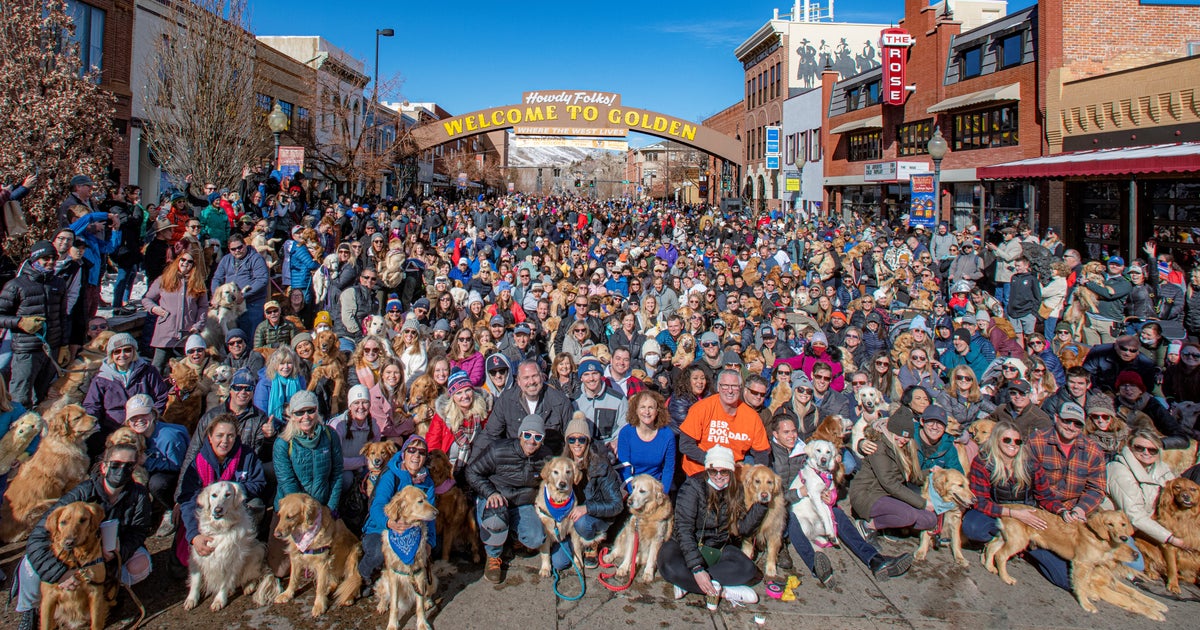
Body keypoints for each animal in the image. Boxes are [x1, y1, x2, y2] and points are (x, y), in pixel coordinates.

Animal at [0, 405, 96, 542]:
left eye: (85, 412)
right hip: (43, 504)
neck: (66, 441)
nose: (96, 420)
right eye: (77, 417)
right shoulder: (75, 479)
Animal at [374, 487, 441, 628]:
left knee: (426, 594)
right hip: (385, 579)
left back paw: (427, 601)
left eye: (427, 498)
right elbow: (394, 606)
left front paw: (422, 624)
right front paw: (392, 625)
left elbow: (419, 605)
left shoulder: (419, 573)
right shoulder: (393, 576)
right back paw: (382, 605)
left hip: (432, 579)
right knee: (383, 594)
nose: (437, 512)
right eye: (420, 501)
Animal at [984, 506, 1132, 585]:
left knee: (991, 547)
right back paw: (1006, 578)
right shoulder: (1082, 562)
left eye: (1123, 524)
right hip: (1018, 541)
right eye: (1110, 524)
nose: (1124, 538)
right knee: (1001, 555)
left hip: (1005, 537)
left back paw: (989, 567)